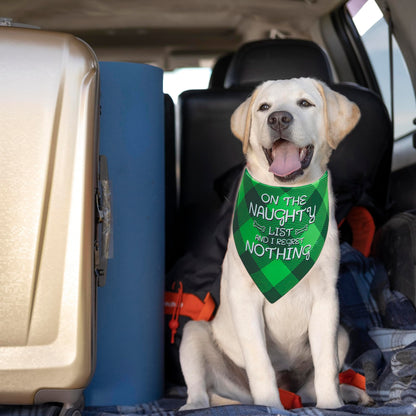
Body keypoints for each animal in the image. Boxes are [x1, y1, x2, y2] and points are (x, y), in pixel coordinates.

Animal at [179, 77, 370, 410]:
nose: (278, 118)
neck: (285, 206)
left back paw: (347, 393)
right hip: (194, 334)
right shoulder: (245, 299)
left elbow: (326, 366)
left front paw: (332, 406)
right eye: (264, 107)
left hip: (342, 335)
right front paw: (269, 404)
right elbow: (260, 364)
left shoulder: (326, 300)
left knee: (310, 387)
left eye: (305, 103)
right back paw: (196, 406)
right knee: (200, 391)